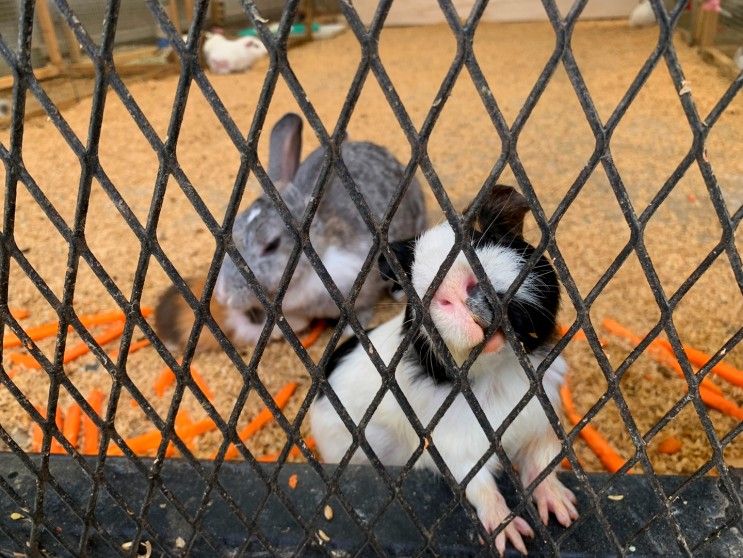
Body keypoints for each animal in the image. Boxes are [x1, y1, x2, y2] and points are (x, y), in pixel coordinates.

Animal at [310, 187, 580, 556]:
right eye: (413, 285)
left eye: (486, 237)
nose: (450, 290)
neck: (497, 372)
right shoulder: (456, 448)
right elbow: (479, 485)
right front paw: (513, 539)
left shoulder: (542, 422)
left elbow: (544, 463)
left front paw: (565, 513)